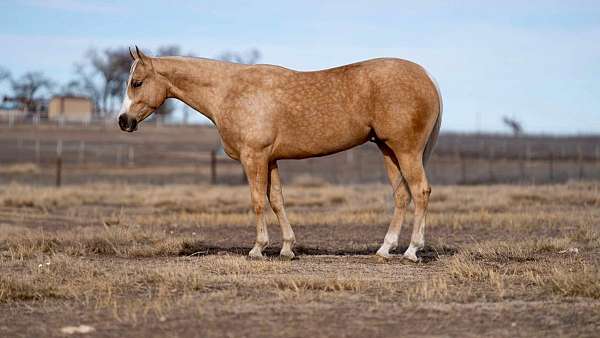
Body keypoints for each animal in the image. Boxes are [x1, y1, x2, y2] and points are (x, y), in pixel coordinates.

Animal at [119, 46, 442, 262]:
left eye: (137, 82)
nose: (124, 121)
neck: (229, 91)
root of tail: (427, 76)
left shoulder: (254, 157)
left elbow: (257, 202)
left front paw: (258, 248)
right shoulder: (271, 159)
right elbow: (276, 201)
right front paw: (287, 248)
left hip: (406, 150)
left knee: (420, 191)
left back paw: (412, 250)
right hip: (388, 150)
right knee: (402, 195)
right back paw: (385, 249)